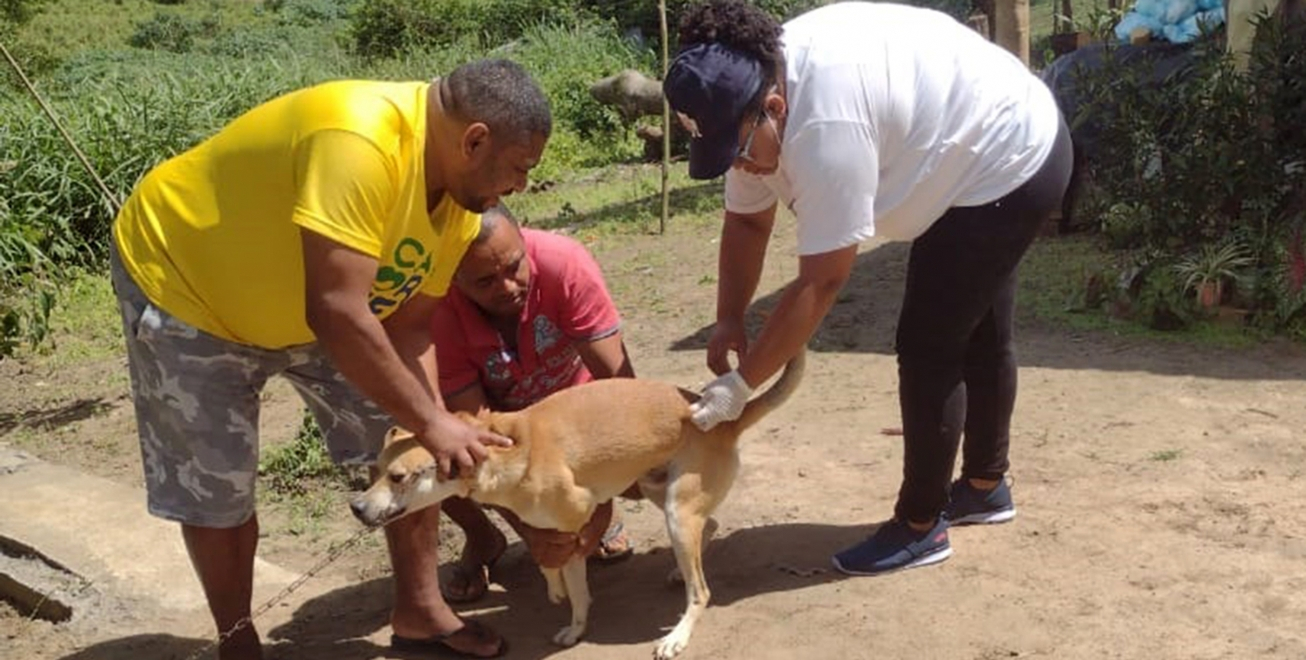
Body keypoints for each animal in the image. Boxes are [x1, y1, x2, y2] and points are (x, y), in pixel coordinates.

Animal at [347, 352, 799, 656]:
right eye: (376, 470)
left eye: (398, 477)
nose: (356, 507)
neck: (502, 450)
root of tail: (726, 421)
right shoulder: (556, 532)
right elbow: (557, 571)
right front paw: (566, 610)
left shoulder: (578, 518)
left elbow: (570, 575)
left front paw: (569, 608)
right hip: (658, 491)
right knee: (710, 527)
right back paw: (676, 572)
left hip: (675, 509)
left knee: (701, 591)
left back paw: (677, 636)